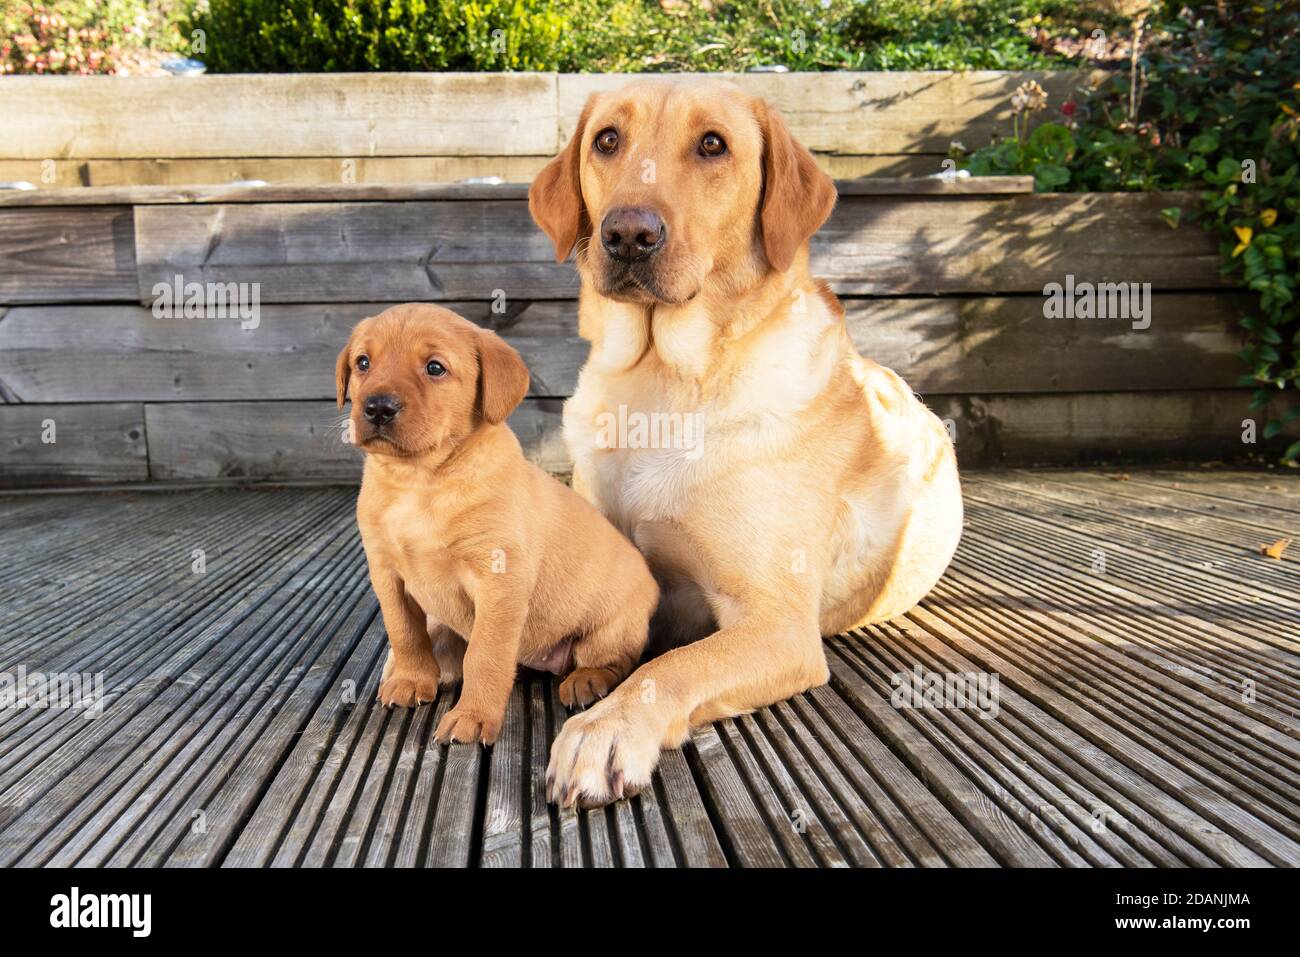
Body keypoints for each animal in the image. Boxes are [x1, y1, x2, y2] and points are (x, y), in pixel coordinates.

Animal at [338, 302, 660, 743]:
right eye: (363, 363)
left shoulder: (498, 581)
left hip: (612, 626)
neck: (420, 483)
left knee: (613, 659)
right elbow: (405, 632)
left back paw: (587, 679)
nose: (378, 407)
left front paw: (473, 715)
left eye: (435, 368)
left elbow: (485, 655)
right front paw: (411, 679)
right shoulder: (387, 573)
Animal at [527, 78, 967, 806]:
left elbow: (677, 664)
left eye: (713, 145)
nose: (627, 234)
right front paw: (594, 673)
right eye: (607, 140)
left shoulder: (777, 625)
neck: (663, 382)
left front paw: (607, 727)